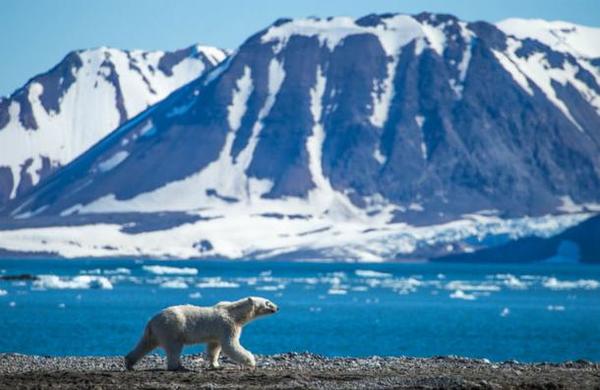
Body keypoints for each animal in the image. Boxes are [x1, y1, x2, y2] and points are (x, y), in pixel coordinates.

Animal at [125, 298, 280, 370]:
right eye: (267, 302)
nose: (277, 307)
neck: (234, 313)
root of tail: (151, 320)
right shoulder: (227, 326)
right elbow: (230, 345)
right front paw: (251, 361)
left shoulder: (217, 332)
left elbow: (214, 347)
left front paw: (215, 364)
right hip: (172, 328)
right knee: (174, 348)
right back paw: (178, 366)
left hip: (155, 331)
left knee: (145, 344)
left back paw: (129, 363)